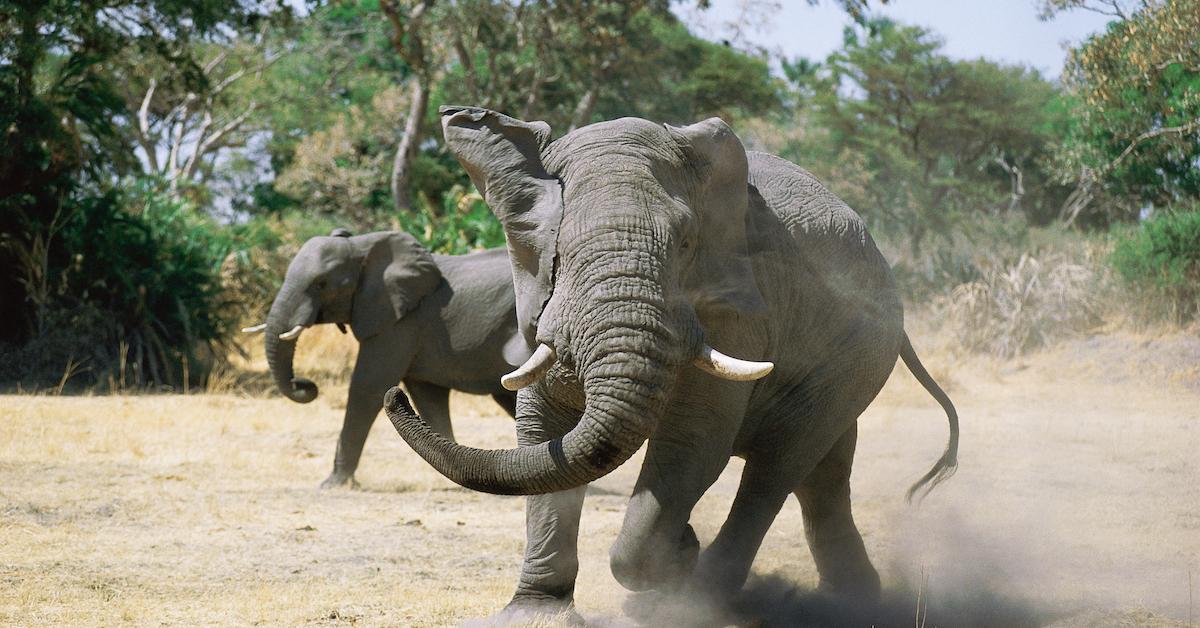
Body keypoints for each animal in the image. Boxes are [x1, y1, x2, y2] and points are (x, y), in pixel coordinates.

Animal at [246, 230, 518, 492]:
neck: (361, 245)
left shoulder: (397, 322)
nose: (305, 385)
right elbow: (428, 398)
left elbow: (367, 387)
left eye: (321, 284)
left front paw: (332, 484)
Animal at [379, 105, 960, 619]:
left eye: (684, 244)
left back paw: (705, 600)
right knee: (822, 476)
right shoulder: (539, 307)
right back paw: (848, 601)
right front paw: (535, 615)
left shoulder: (734, 311)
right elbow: (543, 433)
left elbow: (693, 440)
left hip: (856, 358)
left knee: (777, 469)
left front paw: (678, 556)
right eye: (558, 251)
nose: (395, 394)